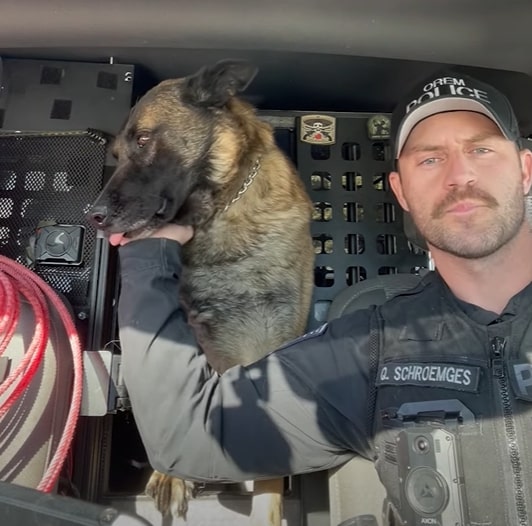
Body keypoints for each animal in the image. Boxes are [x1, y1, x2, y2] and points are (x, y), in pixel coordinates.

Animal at [86, 62, 316, 526]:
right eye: (115, 154)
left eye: (143, 139)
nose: (93, 216)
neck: (219, 215)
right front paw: (170, 476)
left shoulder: (269, 349)